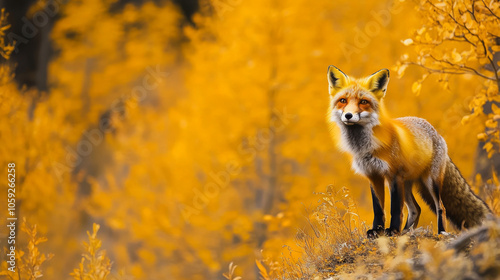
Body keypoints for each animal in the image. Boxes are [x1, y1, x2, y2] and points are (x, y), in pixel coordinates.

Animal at [328, 65, 492, 236]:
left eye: (363, 102)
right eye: (343, 101)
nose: (348, 115)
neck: (367, 146)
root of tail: (436, 131)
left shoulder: (393, 175)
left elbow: (395, 209)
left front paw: (393, 230)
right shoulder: (374, 176)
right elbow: (379, 209)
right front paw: (377, 231)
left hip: (429, 181)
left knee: (441, 207)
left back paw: (440, 232)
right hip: (406, 184)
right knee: (416, 209)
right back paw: (407, 231)